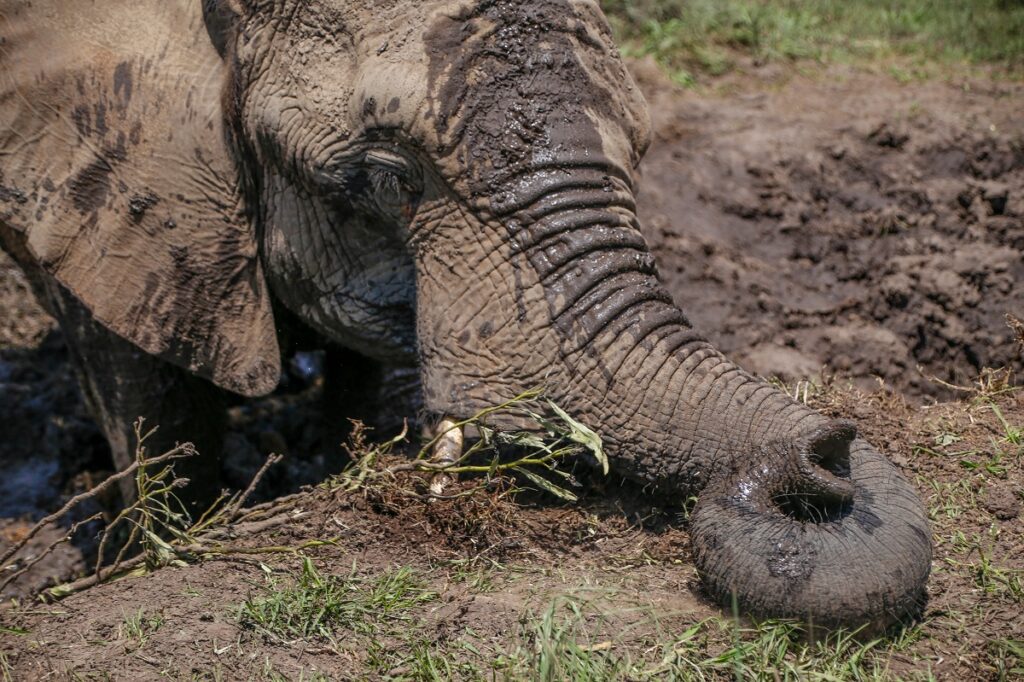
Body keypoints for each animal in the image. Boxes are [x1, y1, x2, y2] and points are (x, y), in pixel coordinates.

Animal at [0, 0, 930, 627]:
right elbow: (149, 403)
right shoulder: (119, 190)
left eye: (643, 149)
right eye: (388, 178)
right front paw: (156, 542)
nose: (825, 450)